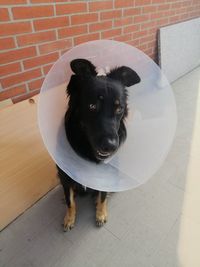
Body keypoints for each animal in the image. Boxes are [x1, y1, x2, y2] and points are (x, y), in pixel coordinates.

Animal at [56, 58, 141, 230]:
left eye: (119, 108)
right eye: (92, 106)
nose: (111, 146)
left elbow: (102, 195)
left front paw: (100, 214)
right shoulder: (64, 175)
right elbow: (69, 200)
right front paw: (69, 218)